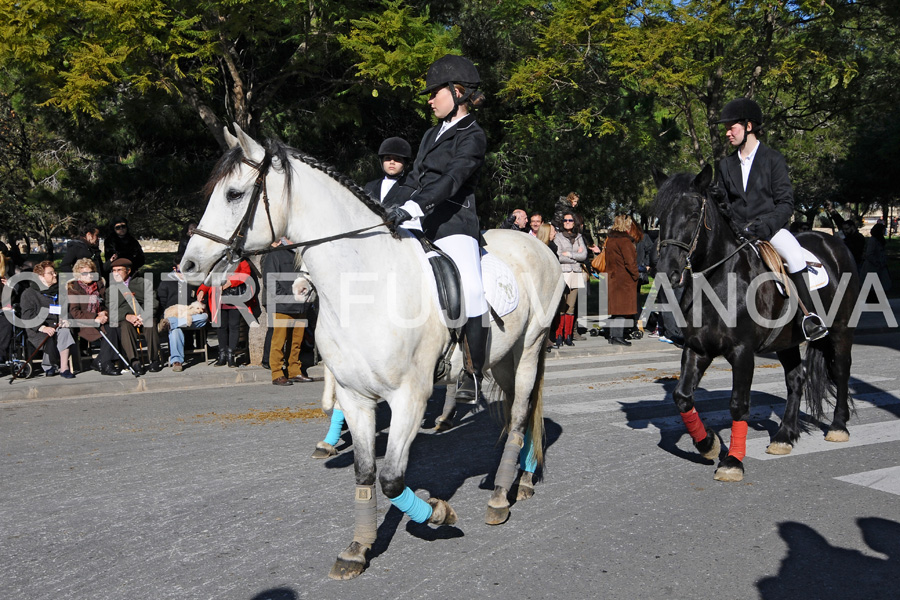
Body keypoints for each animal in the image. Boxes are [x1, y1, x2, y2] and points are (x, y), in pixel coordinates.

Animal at [181, 124, 564, 580]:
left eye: (234, 194)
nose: (187, 266)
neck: (364, 285)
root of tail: (538, 246)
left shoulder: (410, 397)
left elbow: (393, 479)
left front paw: (438, 514)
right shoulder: (354, 394)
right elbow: (365, 472)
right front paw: (358, 548)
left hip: (529, 350)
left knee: (521, 415)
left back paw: (502, 495)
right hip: (502, 358)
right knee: (519, 411)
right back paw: (522, 479)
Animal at [652, 165, 856, 482]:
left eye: (693, 213)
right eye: (660, 215)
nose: (665, 271)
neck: (719, 280)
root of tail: (833, 242)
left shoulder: (742, 352)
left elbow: (739, 404)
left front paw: (732, 461)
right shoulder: (698, 348)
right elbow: (682, 397)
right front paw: (708, 444)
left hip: (840, 330)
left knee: (841, 371)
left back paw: (838, 427)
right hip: (786, 341)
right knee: (796, 379)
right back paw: (784, 436)